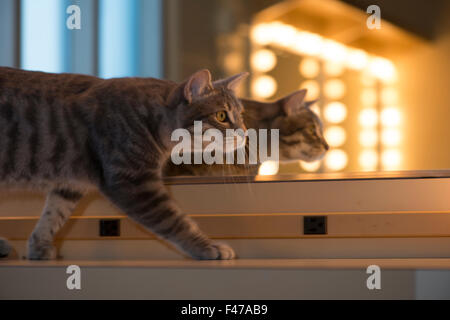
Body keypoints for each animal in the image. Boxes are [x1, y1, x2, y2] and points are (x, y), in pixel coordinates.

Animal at [0, 67, 246, 260]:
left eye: (241, 115)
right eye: (222, 115)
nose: (244, 132)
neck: (154, 118)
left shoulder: (70, 185)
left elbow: (53, 216)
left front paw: (37, 246)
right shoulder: (133, 182)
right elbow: (176, 220)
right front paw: (207, 247)